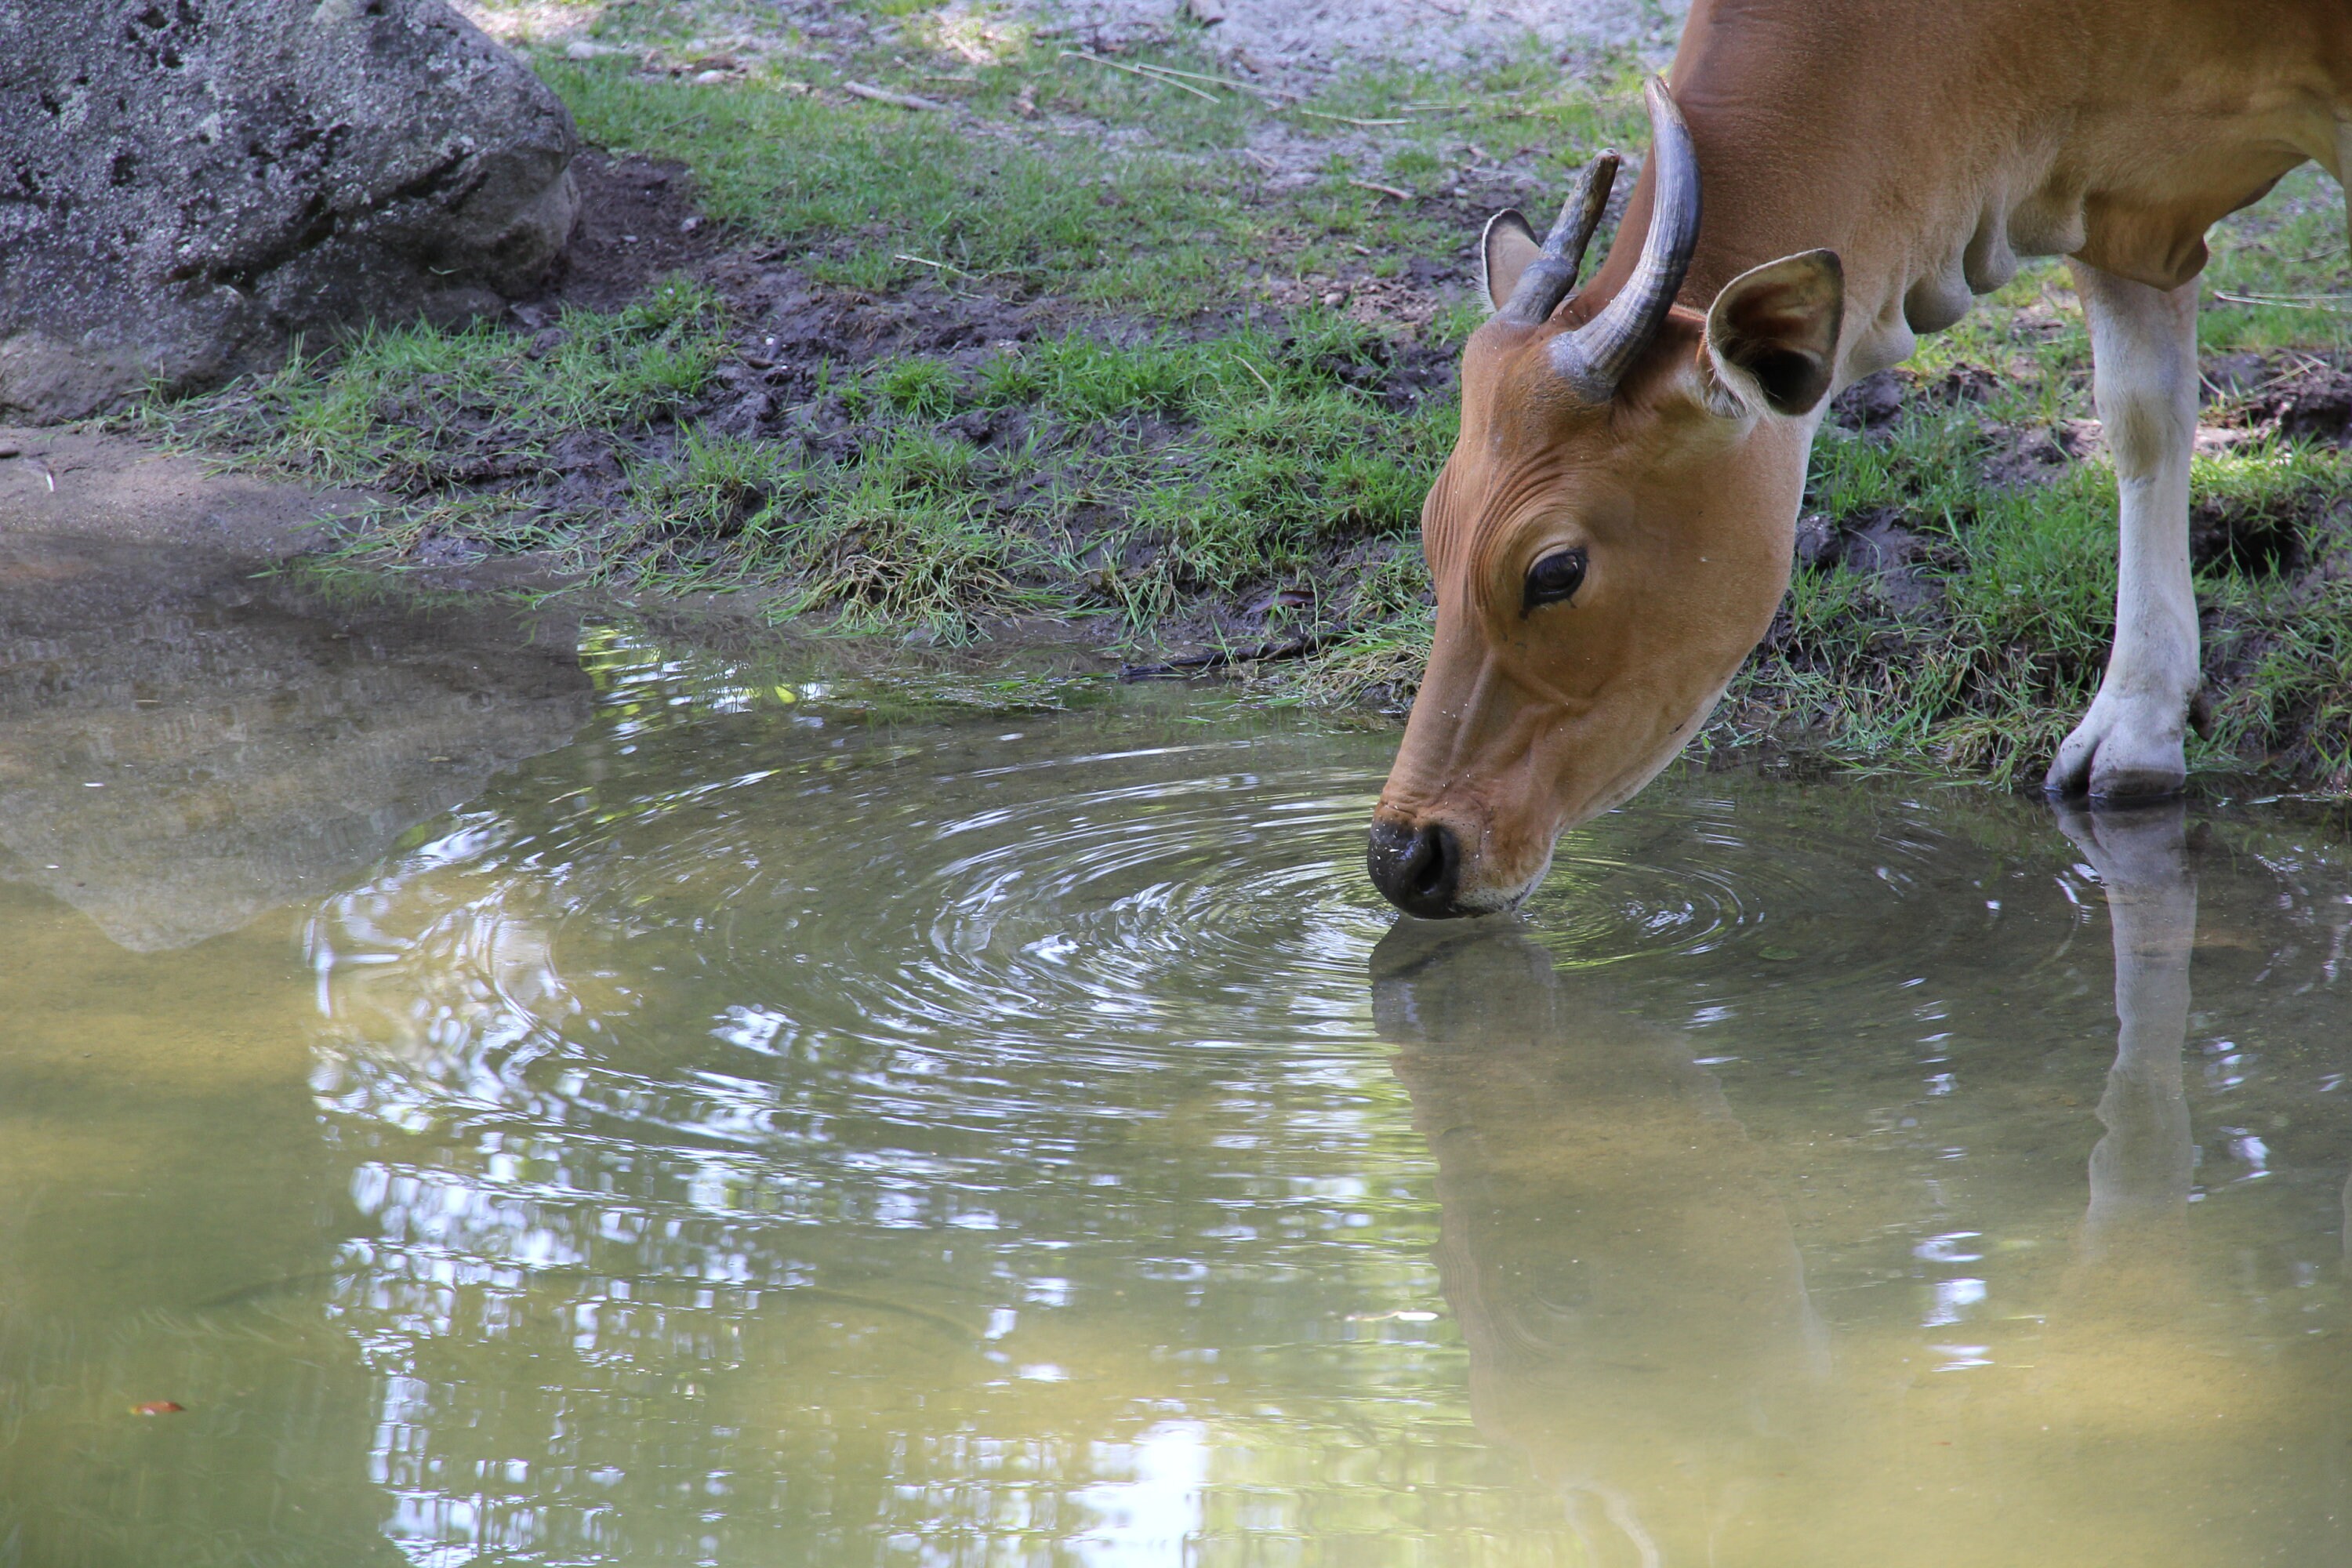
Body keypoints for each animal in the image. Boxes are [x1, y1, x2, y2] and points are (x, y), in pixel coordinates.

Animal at [1366, 0, 2352, 919]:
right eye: (1431, 532)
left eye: (1556, 569)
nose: (1407, 854)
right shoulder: (2113, 204)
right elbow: (2142, 413)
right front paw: (2140, 724)